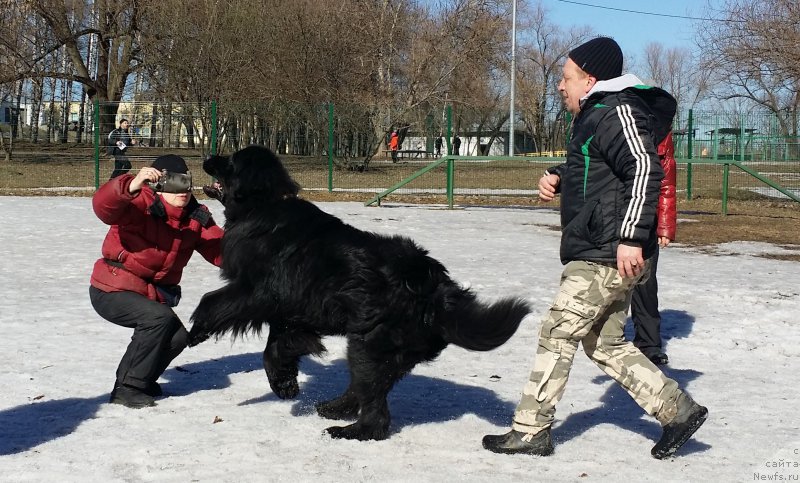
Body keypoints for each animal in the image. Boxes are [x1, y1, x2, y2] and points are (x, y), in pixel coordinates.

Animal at [189, 145, 532, 442]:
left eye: (231, 161)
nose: (207, 157)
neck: (265, 205)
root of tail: (435, 290)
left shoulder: (257, 291)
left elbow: (213, 303)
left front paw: (197, 330)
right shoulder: (292, 311)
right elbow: (277, 346)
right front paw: (284, 383)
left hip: (368, 345)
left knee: (375, 412)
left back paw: (349, 431)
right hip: (384, 350)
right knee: (365, 389)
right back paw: (333, 408)